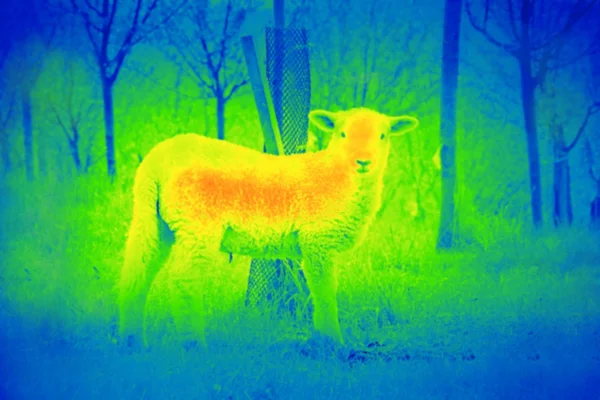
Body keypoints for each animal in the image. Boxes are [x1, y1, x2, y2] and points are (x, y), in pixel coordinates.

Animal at [117, 108, 418, 348]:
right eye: (342, 134)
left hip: (153, 218)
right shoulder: (317, 239)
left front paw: (322, 336)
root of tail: (157, 162)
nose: (363, 161)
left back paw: (133, 341)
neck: (337, 176)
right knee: (184, 279)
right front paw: (332, 340)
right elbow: (324, 290)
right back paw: (194, 343)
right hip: (197, 221)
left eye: (383, 136)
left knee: (137, 272)